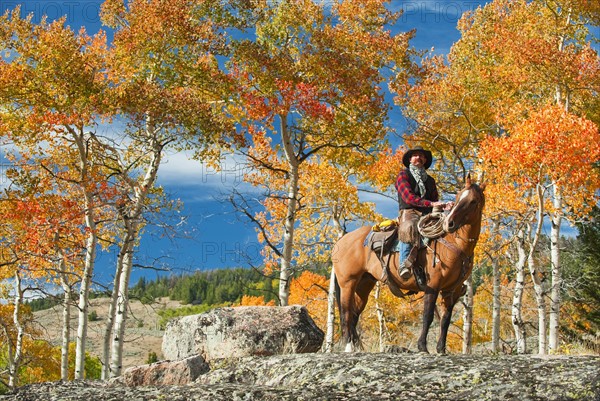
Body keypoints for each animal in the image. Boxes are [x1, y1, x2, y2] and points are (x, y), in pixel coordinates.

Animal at [330, 173, 486, 352]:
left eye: (473, 201)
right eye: (459, 197)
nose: (449, 223)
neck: (455, 244)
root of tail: (341, 241)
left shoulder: (451, 290)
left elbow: (446, 319)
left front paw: (441, 349)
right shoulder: (433, 285)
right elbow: (428, 315)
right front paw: (422, 347)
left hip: (364, 284)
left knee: (355, 314)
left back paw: (357, 347)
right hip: (348, 283)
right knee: (346, 313)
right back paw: (348, 346)